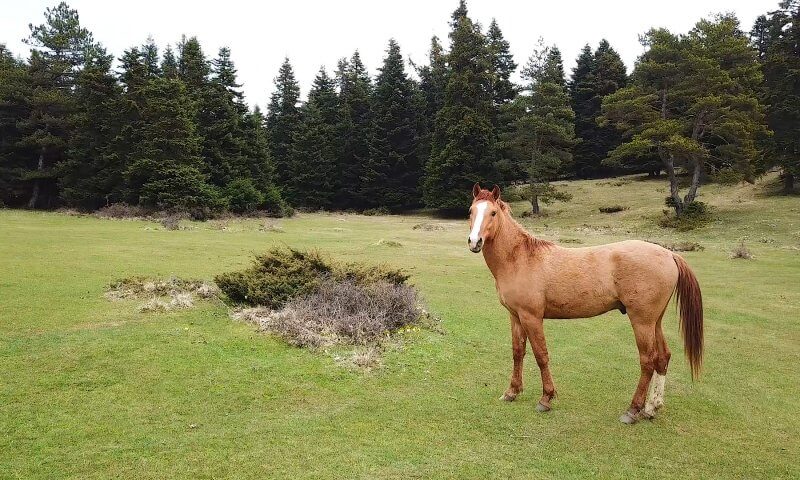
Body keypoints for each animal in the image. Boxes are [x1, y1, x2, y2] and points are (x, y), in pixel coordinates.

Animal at [466, 184, 704, 424]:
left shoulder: (531, 317)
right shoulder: (515, 316)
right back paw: (651, 407)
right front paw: (512, 392)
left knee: (648, 361)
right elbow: (517, 352)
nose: (474, 242)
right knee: (663, 358)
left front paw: (546, 398)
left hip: (642, 322)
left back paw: (633, 410)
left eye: (493, 213)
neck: (520, 259)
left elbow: (541, 355)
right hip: (655, 321)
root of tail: (669, 253)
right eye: (471, 211)